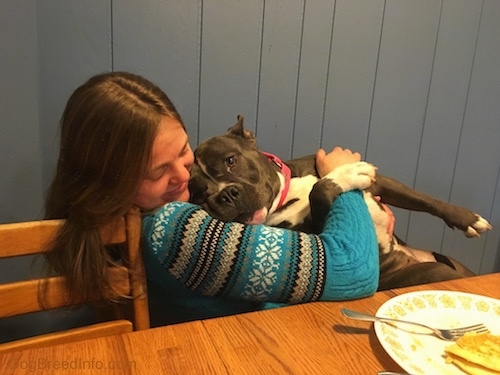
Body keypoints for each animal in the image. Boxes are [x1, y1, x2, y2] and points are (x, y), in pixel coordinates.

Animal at [189, 116, 490, 290]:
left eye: (230, 160)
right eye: (200, 195)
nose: (225, 195)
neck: (288, 191)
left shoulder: (380, 184)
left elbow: (426, 201)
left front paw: (468, 219)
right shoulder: (321, 236)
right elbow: (320, 189)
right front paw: (344, 174)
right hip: (435, 271)